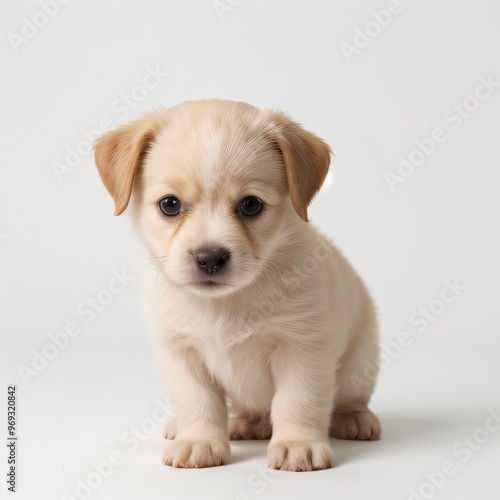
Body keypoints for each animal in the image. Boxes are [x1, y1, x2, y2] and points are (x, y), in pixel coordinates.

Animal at [94, 99, 380, 470]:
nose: (210, 257)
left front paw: (297, 443)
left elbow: (298, 401)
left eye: (251, 205)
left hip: (360, 361)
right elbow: (196, 402)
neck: (227, 302)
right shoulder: (179, 353)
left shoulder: (302, 349)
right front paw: (198, 440)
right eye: (170, 204)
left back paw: (354, 418)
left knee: (348, 397)